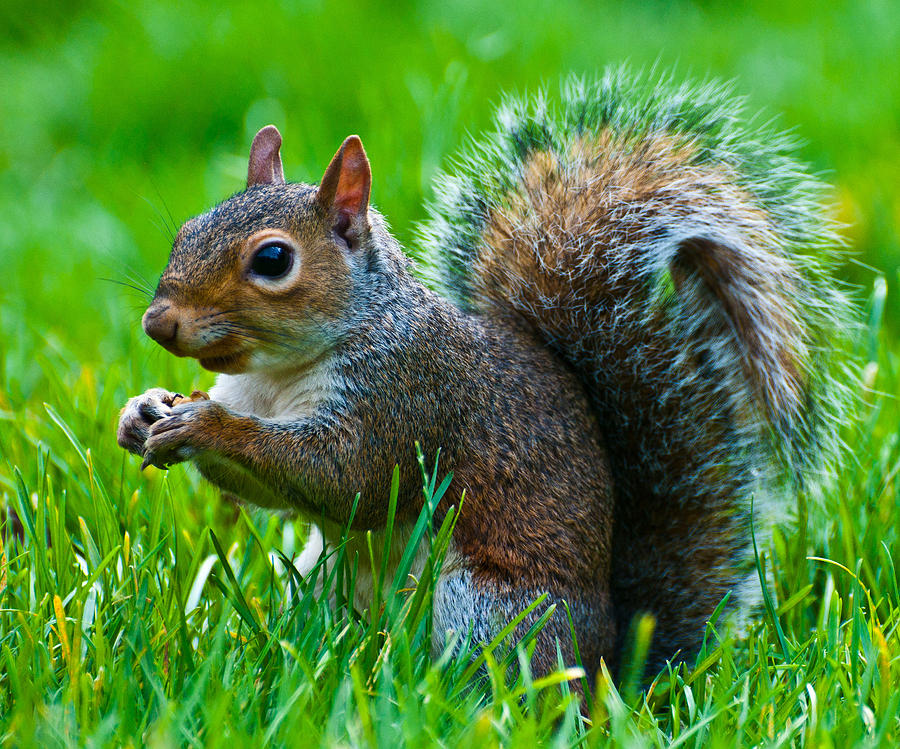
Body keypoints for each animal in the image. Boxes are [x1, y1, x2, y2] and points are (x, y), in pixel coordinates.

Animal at [116, 68, 856, 676]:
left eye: (273, 260)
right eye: (187, 229)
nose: (158, 323)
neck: (276, 372)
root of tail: (610, 660)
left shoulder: (405, 394)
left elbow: (344, 478)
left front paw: (206, 425)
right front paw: (143, 412)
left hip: (485, 608)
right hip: (326, 576)